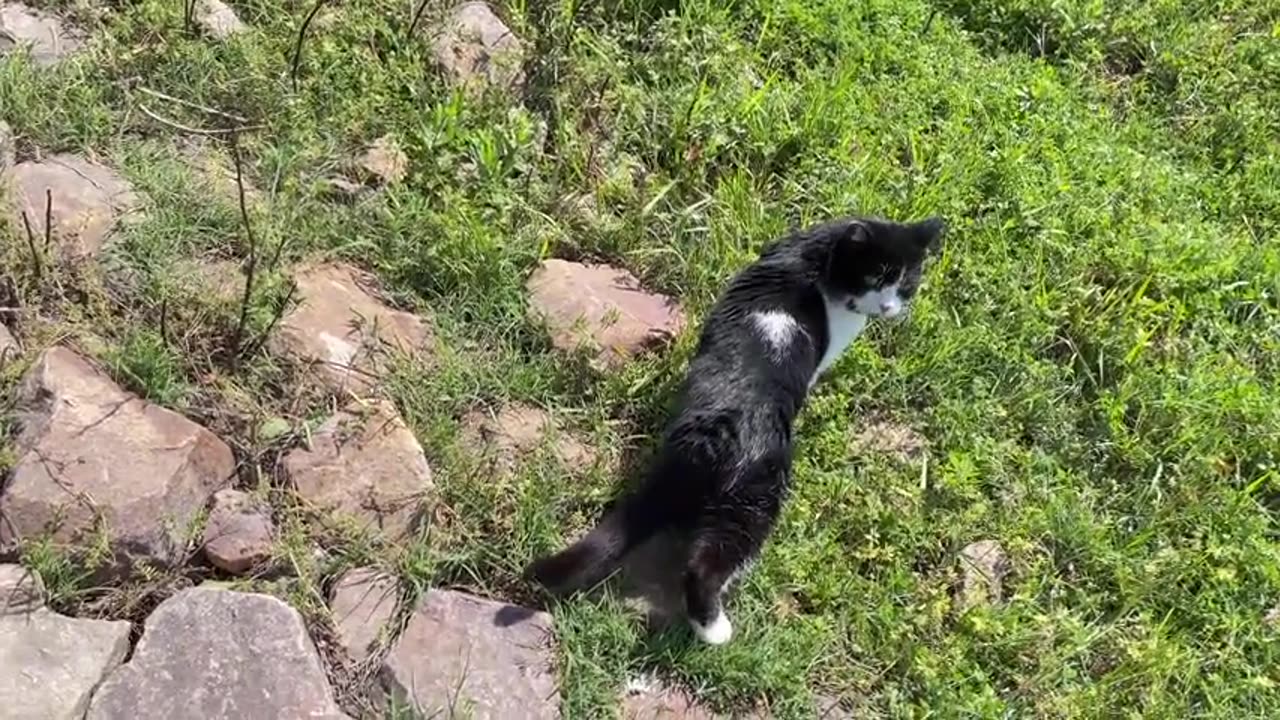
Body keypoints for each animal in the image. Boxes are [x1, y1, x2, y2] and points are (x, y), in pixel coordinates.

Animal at [524, 212, 947, 645]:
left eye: (906, 283)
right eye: (878, 275)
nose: (890, 307)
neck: (817, 257)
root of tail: (711, 435)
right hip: (752, 501)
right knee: (708, 566)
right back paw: (716, 630)